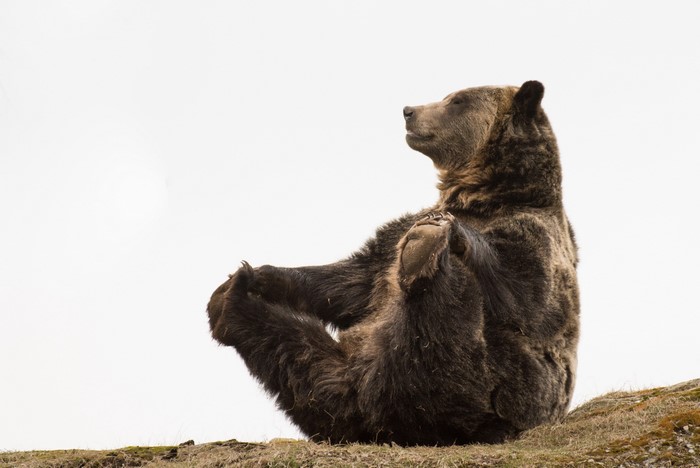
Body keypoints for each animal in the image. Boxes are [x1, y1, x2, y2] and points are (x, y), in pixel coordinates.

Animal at [206, 80, 580, 445]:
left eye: (457, 100)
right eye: (448, 95)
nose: (409, 110)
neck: (481, 195)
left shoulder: (534, 237)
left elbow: (523, 293)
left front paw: (445, 231)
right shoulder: (391, 240)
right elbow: (352, 282)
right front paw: (262, 275)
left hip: (483, 385)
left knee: (436, 340)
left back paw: (421, 256)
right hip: (337, 372)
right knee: (299, 355)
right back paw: (229, 300)